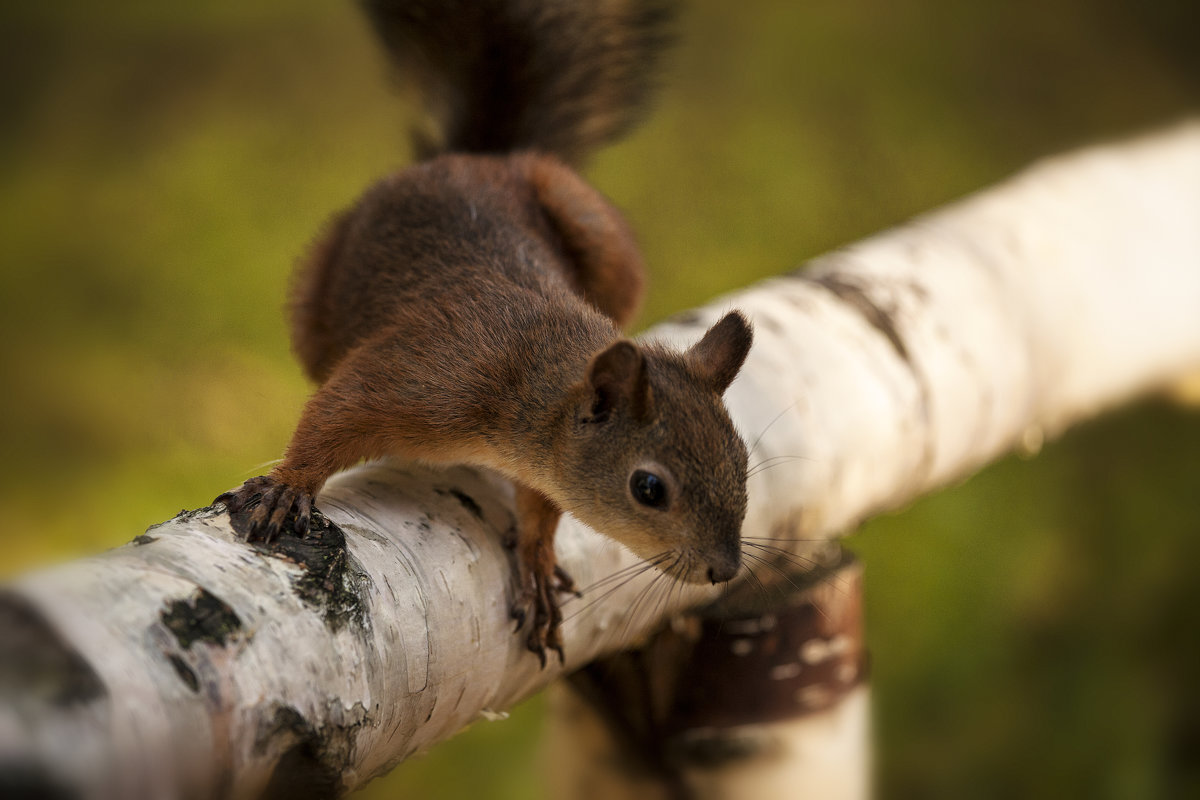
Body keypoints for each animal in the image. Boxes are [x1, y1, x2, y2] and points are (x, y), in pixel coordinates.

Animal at [218, 0, 748, 662]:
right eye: (648, 488)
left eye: (742, 460)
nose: (724, 570)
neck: (529, 373)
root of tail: (475, 157)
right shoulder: (423, 372)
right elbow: (331, 414)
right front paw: (288, 486)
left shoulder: (543, 460)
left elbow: (542, 508)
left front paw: (537, 564)